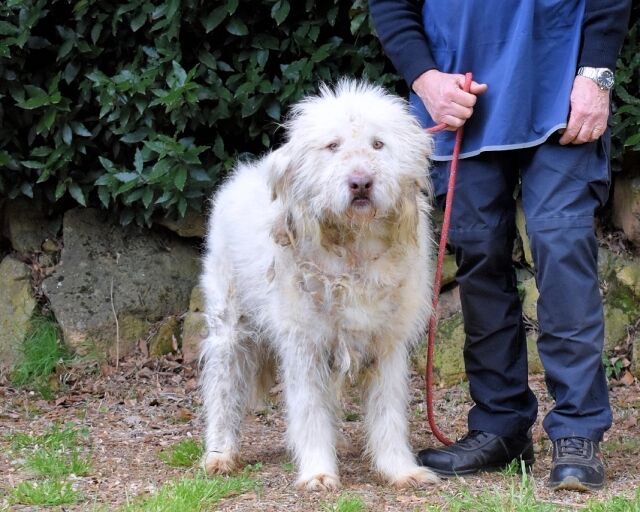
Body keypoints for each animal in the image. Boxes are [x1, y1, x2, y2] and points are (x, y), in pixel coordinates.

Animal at [200, 80, 437, 490]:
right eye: (333, 146)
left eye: (378, 144)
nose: (361, 182)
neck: (353, 249)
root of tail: (242, 175)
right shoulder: (304, 345)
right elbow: (309, 409)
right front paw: (317, 471)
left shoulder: (387, 345)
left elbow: (388, 412)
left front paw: (398, 469)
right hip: (230, 330)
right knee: (223, 389)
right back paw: (220, 453)